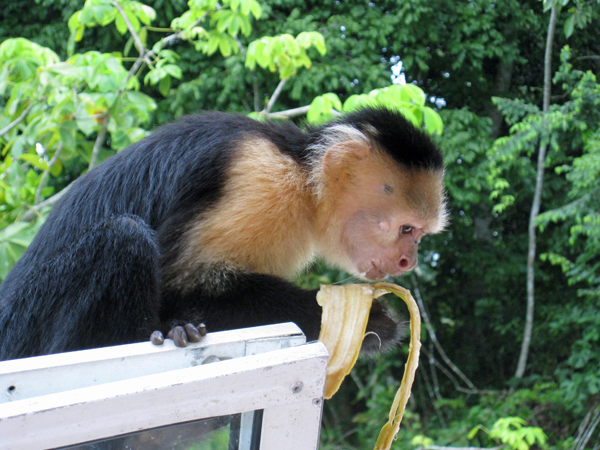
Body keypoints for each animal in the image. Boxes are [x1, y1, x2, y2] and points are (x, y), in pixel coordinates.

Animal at [0, 106, 446, 362]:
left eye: (421, 234)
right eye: (406, 228)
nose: (409, 261)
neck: (303, 182)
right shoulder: (259, 182)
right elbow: (183, 284)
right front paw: (362, 319)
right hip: (23, 323)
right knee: (123, 238)